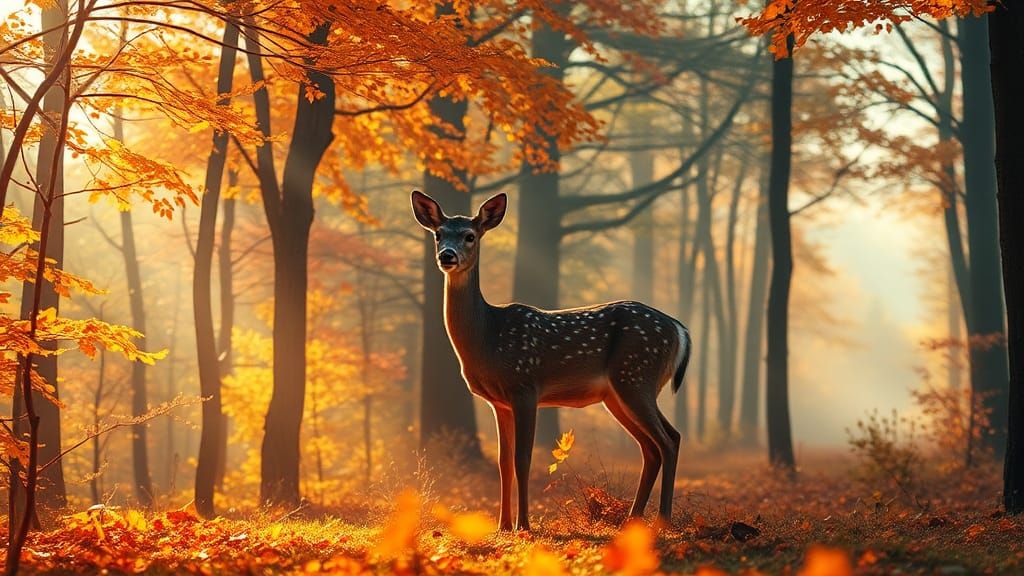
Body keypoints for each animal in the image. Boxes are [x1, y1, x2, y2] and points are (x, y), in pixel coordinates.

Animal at [411, 190, 691, 531]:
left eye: (470, 236)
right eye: (438, 234)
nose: (447, 256)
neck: (488, 338)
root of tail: (679, 329)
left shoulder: (525, 385)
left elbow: (523, 459)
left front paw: (523, 525)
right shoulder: (498, 402)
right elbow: (503, 462)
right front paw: (502, 525)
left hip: (637, 376)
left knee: (668, 440)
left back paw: (663, 520)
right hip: (618, 393)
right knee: (652, 446)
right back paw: (632, 520)